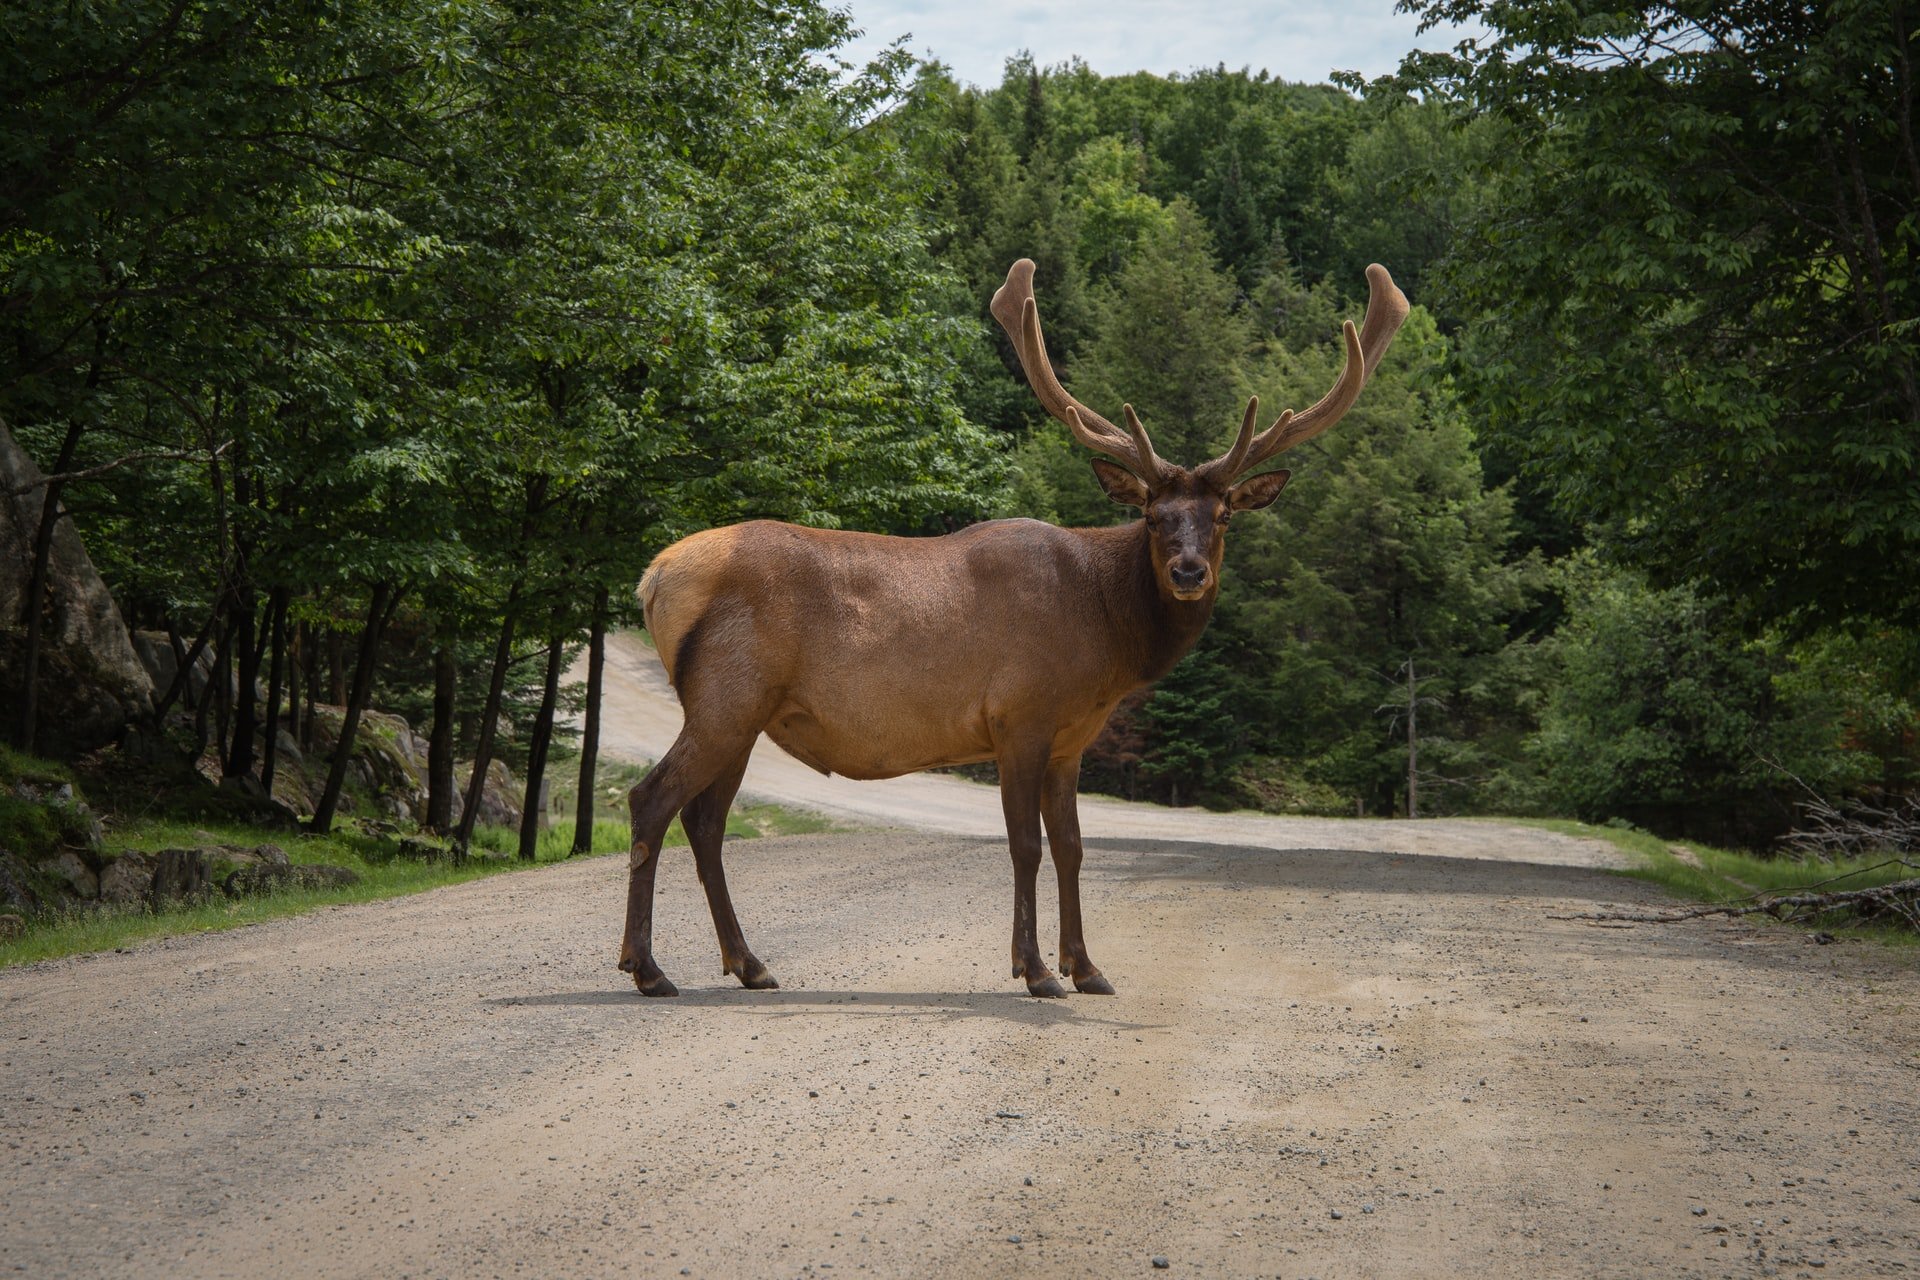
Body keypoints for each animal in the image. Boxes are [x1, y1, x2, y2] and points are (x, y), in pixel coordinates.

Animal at [622, 257, 1405, 997]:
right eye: (1153, 515)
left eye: (1222, 517)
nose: (1188, 572)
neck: (1107, 639)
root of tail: (654, 577)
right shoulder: (1018, 715)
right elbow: (1025, 845)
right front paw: (1035, 970)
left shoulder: (1071, 739)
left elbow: (1073, 845)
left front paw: (1088, 967)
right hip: (726, 695)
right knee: (652, 799)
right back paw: (648, 967)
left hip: (746, 712)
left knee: (706, 820)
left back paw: (749, 964)